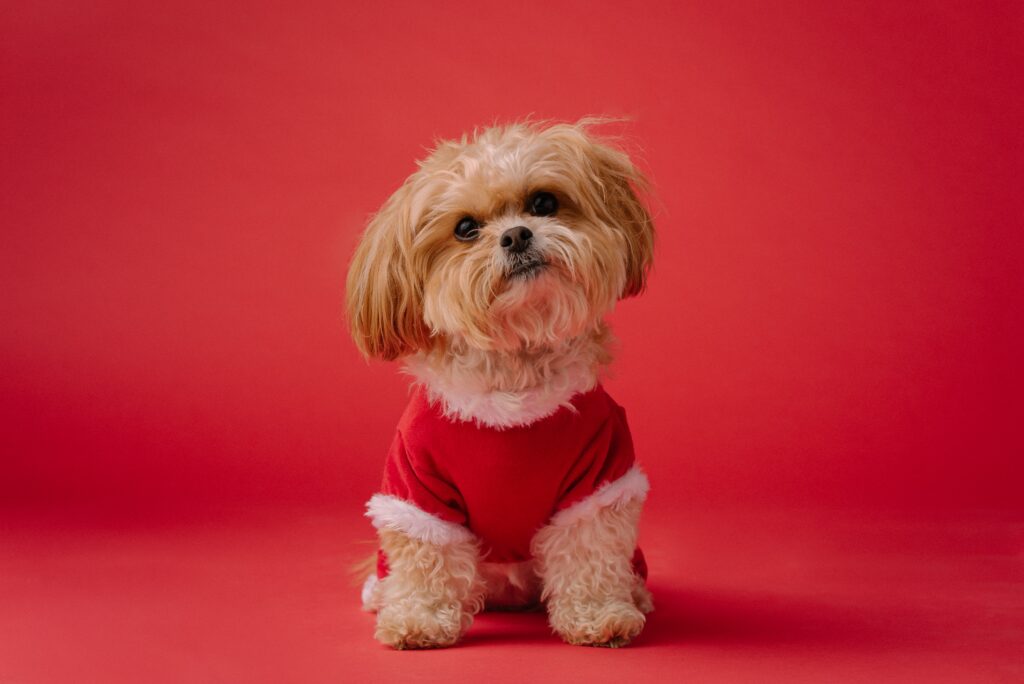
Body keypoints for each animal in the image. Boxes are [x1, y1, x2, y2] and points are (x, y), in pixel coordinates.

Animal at [348, 120, 655, 651]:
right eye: (465, 228)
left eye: (544, 202)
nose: (515, 234)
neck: (515, 381)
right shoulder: (416, 490)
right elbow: (426, 559)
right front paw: (419, 620)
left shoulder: (600, 479)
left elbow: (590, 551)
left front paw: (600, 615)